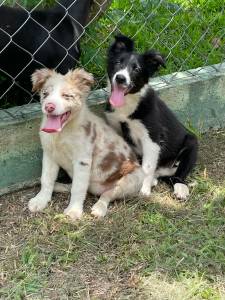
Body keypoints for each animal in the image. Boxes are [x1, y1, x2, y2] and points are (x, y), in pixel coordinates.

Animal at [104, 35, 198, 199]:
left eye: (136, 69)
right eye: (117, 63)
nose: (120, 78)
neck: (128, 103)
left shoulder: (152, 139)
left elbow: (147, 167)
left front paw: (144, 190)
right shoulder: (115, 127)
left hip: (192, 143)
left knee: (177, 175)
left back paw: (180, 188)